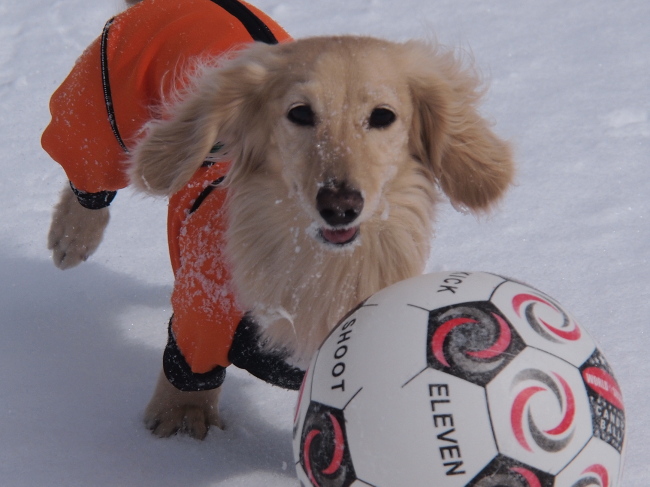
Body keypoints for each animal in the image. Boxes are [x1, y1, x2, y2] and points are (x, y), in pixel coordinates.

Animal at [43, 0, 512, 442]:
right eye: (300, 113)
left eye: (383, 116)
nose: (340, 205)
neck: (317, 267)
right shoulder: (201, 318)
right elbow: (188, 376)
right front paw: (182, 420)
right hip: (102, 110)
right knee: (90, 174)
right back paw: (73, 237)